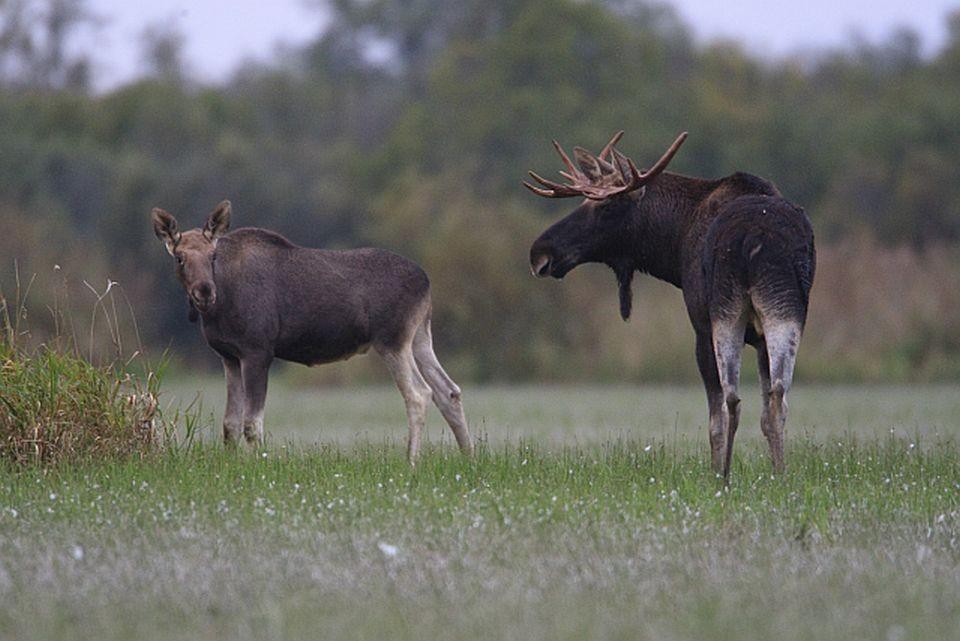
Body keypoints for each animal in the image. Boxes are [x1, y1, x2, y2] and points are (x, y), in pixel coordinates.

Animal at [151, 200, 476, 460]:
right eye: (179, 257)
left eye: (212, 256)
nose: (205, 292)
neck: (220, 309)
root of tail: (427, 282)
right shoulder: (229, 356)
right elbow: (229, 424)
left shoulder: (258, 352)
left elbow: (252, 424)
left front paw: (258, 464)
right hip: (420, 336)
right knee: (448, 391)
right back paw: (468, 457)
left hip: (392, 340)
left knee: (419, 394)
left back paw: (411, 462)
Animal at [524, 131, 816, 480]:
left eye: (606, 206)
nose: (540, 252)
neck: (674, 242)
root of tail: (754, 237)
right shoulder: (759, 338)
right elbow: (766, 407)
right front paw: (775, 470)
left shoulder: (700, 325)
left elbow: (715, 418)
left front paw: (715, 471)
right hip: (785, 311)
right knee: (777, 398)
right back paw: (779, 473)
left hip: (723, 314)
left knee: (731, 400)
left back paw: (723, 476)